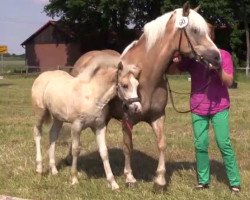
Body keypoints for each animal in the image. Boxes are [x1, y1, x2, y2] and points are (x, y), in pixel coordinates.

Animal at [30, 59, 142, 189]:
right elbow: (75, 150)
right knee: (37, 133)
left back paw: (54, 170)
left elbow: (104, 152)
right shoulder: (76, 126)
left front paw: (113, 183)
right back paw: (39, 169)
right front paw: (74, 179)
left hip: (58, 118)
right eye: (125, 85)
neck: (93, 96)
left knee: (53, 135)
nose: (137, 108)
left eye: (137, 84)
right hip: (40, 113)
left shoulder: (99, 127)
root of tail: (42, 76)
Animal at [71, 3, 220, 191]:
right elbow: (128, 147)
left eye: (209, 30)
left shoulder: (158, 116)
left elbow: (162, 144)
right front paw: (129, 178)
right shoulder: (127, 119)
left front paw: (160, 180)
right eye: (194, 29)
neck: (146, 76)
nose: (217, 57)